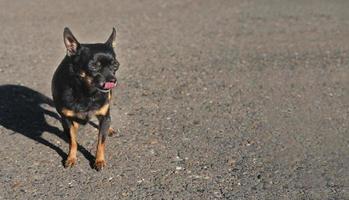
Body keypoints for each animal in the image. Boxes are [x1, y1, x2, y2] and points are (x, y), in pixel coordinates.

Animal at [51, 27, 119, 170]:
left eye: (116, 65)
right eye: (94, 66)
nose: (112, 80)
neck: (87, 93)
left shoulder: (103, 115)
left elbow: (101, 141)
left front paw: (99, 160)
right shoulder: (66, 119)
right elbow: (72, 141)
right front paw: (71, 158)